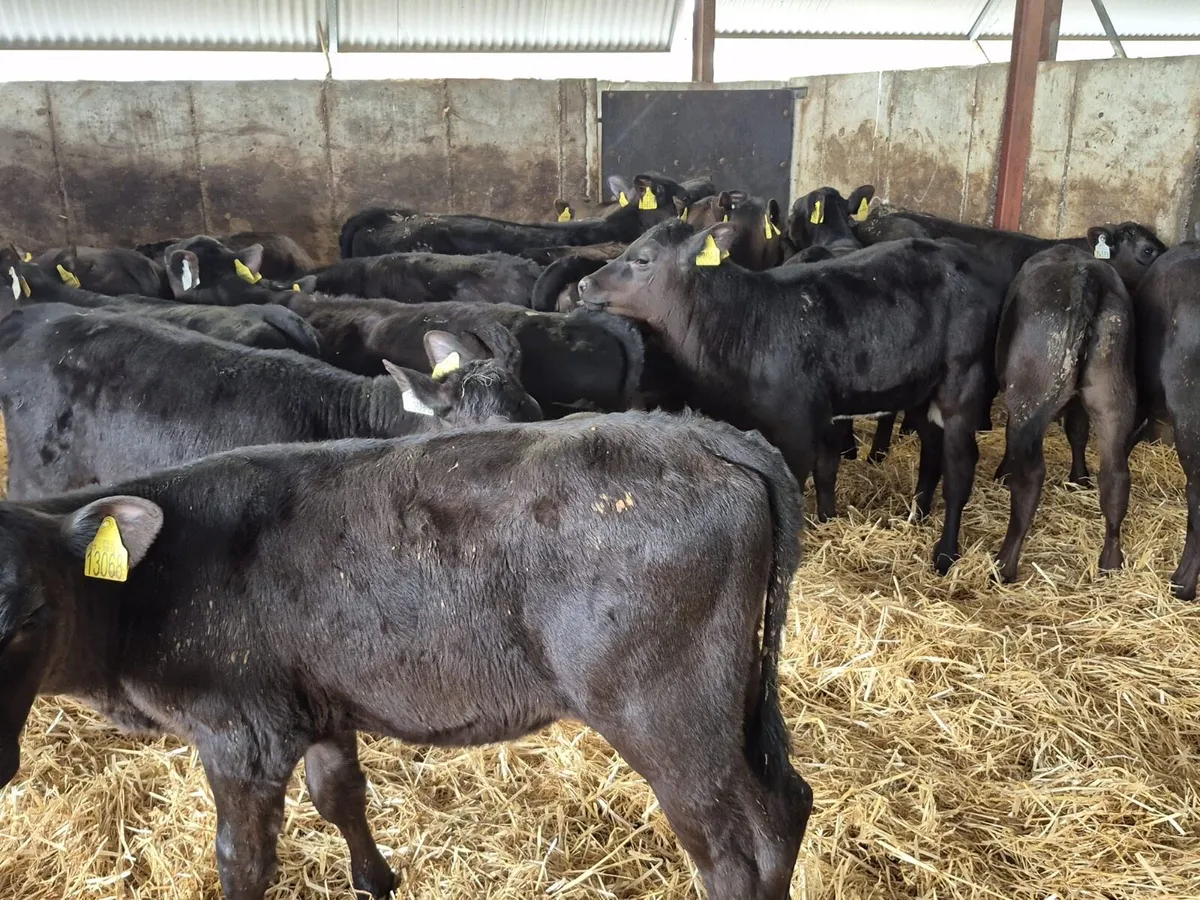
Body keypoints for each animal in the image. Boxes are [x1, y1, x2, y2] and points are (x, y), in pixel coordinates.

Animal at [0, 411, 812, 900]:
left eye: (30, 614)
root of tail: (702, 433)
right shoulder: (317, 703)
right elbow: (340, 796)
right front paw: (377, 880)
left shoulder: (241, 735)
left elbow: (242, 860)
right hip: (733, 705)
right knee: (783, 809)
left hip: (666, 715)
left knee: (730, 851)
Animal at [578, 219, 1009, 573]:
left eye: (642, 259)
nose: (584, 284)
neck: (743, 321)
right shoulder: (820, 412)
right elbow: (827, 468)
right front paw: (828, 519)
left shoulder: (794, 423)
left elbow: (799, 479)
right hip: (924, 390)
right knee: (931, 454)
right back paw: (916, 517)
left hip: (963, 382)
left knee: (960, 467)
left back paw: (945, 553)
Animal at [993, 245, 1136, 583]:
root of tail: (1083, 273)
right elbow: (1077, 431)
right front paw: (1079, 478)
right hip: (1113, 397)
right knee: (1115, 476)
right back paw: (1110, 561)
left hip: (1031, 393)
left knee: (1030, 476)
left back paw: (1004, 565)